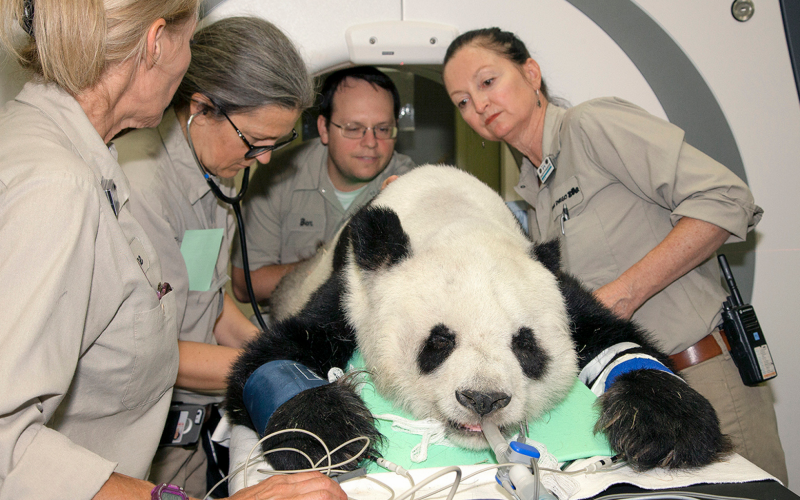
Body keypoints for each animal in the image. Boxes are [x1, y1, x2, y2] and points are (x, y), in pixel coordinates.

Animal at [227, 164, 732, 472]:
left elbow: (618, 340)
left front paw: (667, 427)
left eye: (525, 344)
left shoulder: (557, 282)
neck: (451, 212)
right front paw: (329, 434)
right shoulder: (353, 289)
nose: (483, 400)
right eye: (439, 341)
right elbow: (273, 358)